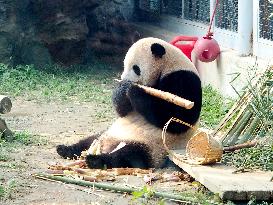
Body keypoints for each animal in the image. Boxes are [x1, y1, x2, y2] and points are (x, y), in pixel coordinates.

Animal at [56, 37, 202, 169]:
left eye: (136, 68)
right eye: (124, 65)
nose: (123, 79)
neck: (168, 65)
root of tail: (108, 145)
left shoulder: (183, 79)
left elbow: (178, 119)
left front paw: (133, 90)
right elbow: (123, 111)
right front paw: (122, 89)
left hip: (152, 146)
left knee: (128, 155)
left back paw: (96, 160)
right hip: (109, 131)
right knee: (88, 140)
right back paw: (64, 149)